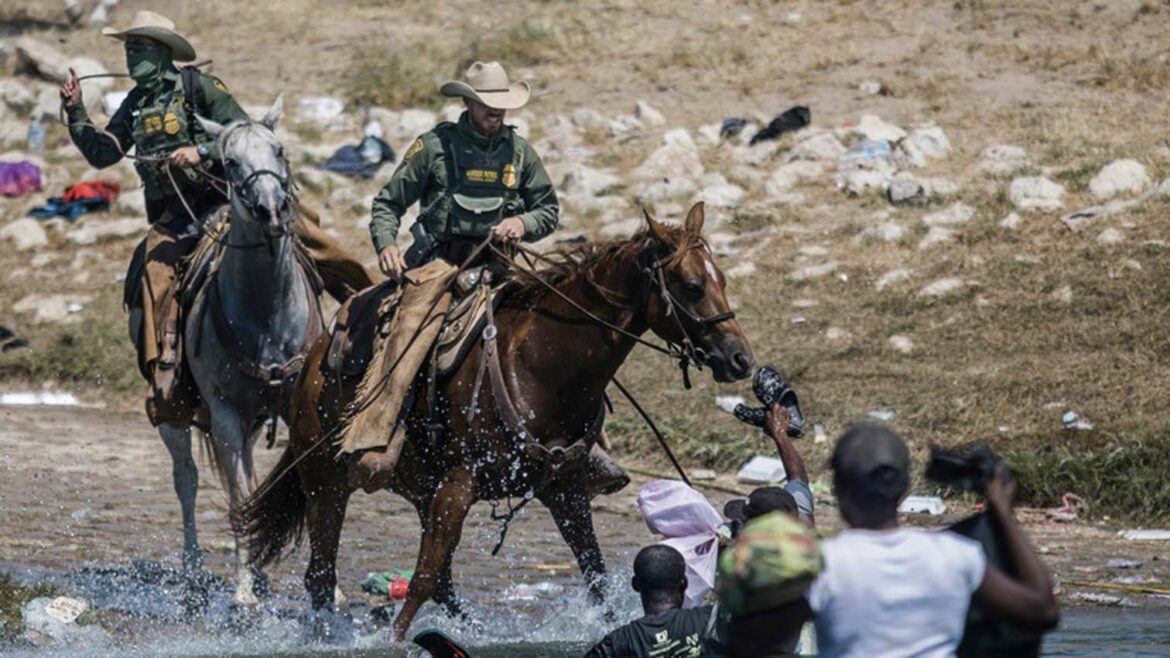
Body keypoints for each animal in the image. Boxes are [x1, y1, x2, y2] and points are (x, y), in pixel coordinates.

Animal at [235, 202, 758, 636]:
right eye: (692, 286)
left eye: (722, 280)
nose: (740, 359)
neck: (541, 366)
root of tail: (313, 360)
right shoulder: (459, 484)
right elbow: (422, 578)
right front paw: (394, 640)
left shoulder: (564, 489)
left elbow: (595, 574)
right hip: (326, 481)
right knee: (322, 574)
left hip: (419, 488)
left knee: (440, 581)